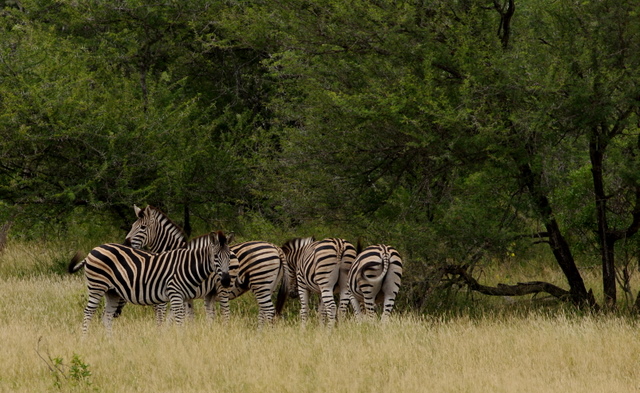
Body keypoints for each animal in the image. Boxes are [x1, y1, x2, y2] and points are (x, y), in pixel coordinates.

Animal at [69, 230, 232, 334]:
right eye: (216, 256)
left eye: (230, 256)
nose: (226, 280)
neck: (187, 266)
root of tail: (94, 249)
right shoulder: (175, 294)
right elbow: (179, 318)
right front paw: (180, 340)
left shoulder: (185, 297)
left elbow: (183, 318)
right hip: (96, 287)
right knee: (89, 312)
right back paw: (84, 340)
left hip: (112, 292)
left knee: (107, 317)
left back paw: (111, 342)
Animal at [125, 205, 290, 324]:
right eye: (132, 225)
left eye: (142, 227)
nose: (125, 243)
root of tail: (275, 247)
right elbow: (187, 317)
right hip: (268, 286)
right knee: (264, 312)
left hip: (260, 283)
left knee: (268, 311)